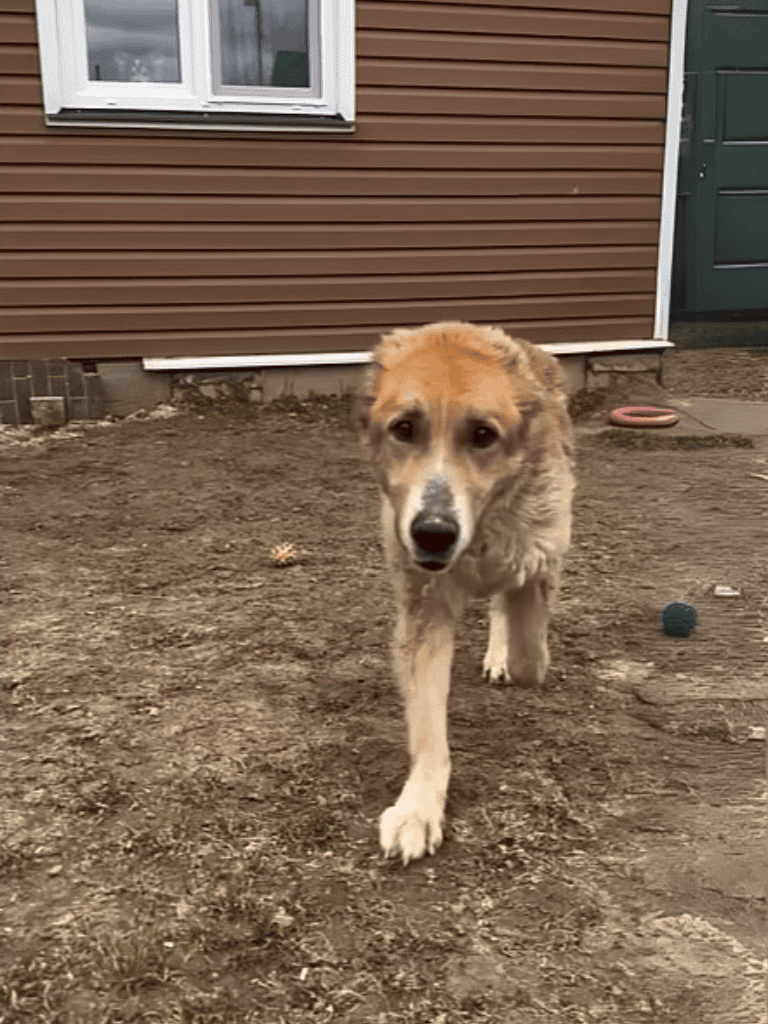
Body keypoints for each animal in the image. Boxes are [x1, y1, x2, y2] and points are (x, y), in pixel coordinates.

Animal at [359, 322, 575, 864]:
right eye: (404, 429)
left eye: (483, 435)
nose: (433, 533)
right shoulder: (424, 610)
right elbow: (428, 728)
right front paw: (419, 809)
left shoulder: (541, 554)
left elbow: (529, 654)